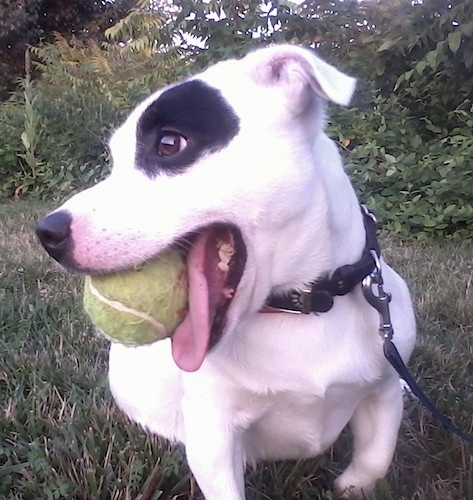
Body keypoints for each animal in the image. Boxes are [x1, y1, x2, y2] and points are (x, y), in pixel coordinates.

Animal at [36, 45, 412, 498]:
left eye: (169, 143)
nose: (48, 232)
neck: (302, 306)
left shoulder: (384, 392)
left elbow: (374, 460)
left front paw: (353, 485)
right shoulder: (213, 434)